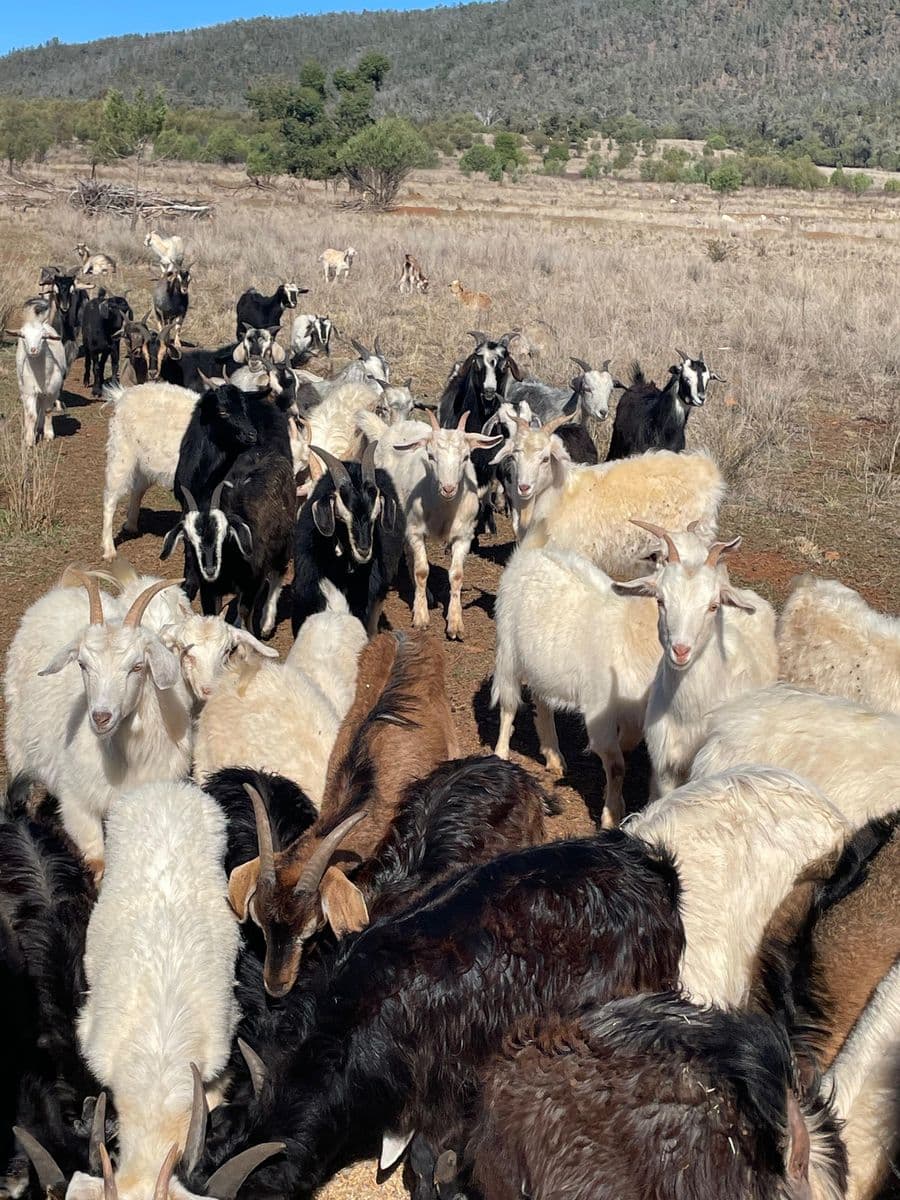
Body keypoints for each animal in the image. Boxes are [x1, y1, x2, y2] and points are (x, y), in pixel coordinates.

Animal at [3, 573, 191, 872]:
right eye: (82, 664)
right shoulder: (78, 805)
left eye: (137, 666)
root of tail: (64, 589)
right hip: (18, 737)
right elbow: (97, 860)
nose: (101, 717)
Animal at [5, 313, 67, 445]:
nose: (33, 350)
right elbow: (31, 415)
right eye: (23, 336)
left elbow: (48, 411)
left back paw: (40, 426)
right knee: (29, 409)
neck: (40, 375)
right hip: (23, 386)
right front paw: (29, 439)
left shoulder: (53, 392)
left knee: (42, 407)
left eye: (44, 337)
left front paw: (48, 434)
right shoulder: (29, 391)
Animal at [162, 449, 295, 638]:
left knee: (277, 576)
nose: (210, 570)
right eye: (188, 538)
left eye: (226, 535)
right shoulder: (209, 589)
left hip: (283, 545)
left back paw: (266, 624)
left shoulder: (252, 581)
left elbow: (245, 611)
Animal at [358, 409, 503, 639]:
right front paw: (421, 617)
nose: (448, 488)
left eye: (466, 457)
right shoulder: (415, 530)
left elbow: (457, 575)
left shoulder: (464, 536)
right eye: (431, 456)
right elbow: (421, 571)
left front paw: (455, 623)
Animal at [492, 544, 662, 828]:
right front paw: (610, 816)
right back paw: (501, 752)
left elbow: (625, 747)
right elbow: (616, 764)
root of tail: (529, 554)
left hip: (543, 666)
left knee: (542, 702)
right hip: (509, 651)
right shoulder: (599, 707)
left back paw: (553, 755)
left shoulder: (634, 712)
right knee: (509, 705)